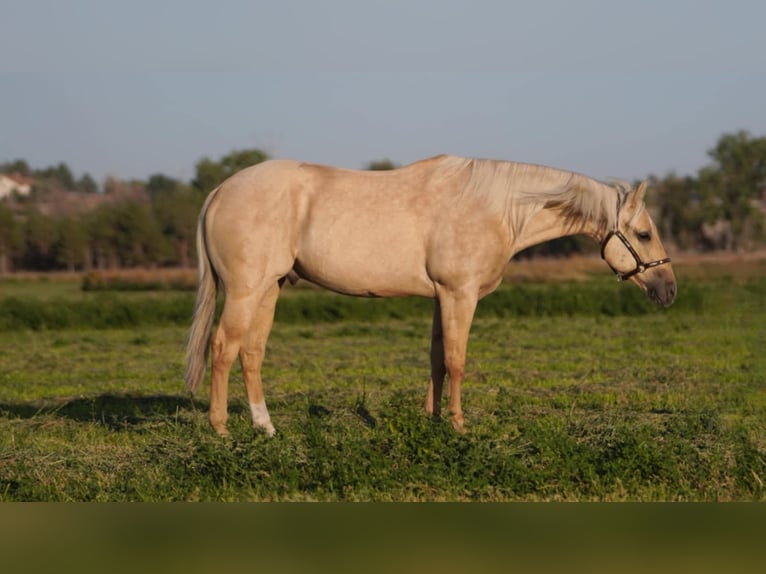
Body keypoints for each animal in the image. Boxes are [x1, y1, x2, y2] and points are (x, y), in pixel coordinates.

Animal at [188, 155, 680, 438]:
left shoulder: (441, 297)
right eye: (643, 233)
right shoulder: (460, 295)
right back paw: (221, 429)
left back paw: (266, 427)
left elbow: (437, 360)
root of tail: (221, 190)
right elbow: (458, 361)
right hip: (246, 291)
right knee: (223, 348)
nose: (669, 289)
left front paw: (433, 419)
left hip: (268, 290)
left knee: (251, 353)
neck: (498, 207)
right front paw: (459, 426)